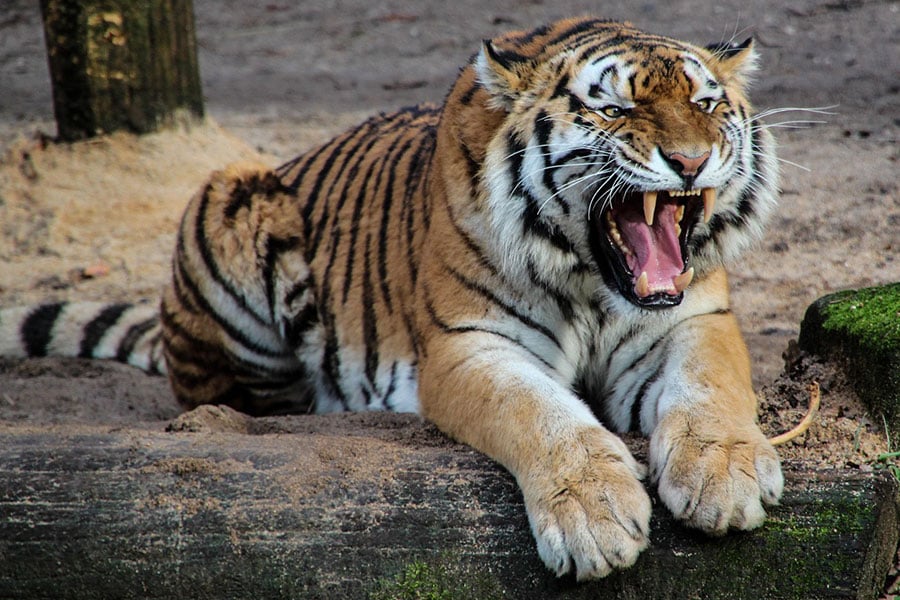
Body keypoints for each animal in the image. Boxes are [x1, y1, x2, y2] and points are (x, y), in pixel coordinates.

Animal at [0, 17, 784, 580]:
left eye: (706, 103)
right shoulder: (468, 345)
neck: (594, 282)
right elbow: (542, 415)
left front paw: (725, 477)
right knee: (233, 396)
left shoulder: (694, 319)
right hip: (229, 196)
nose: (691, 161)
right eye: (616, 108)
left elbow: (710, 387)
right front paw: (594, 517)